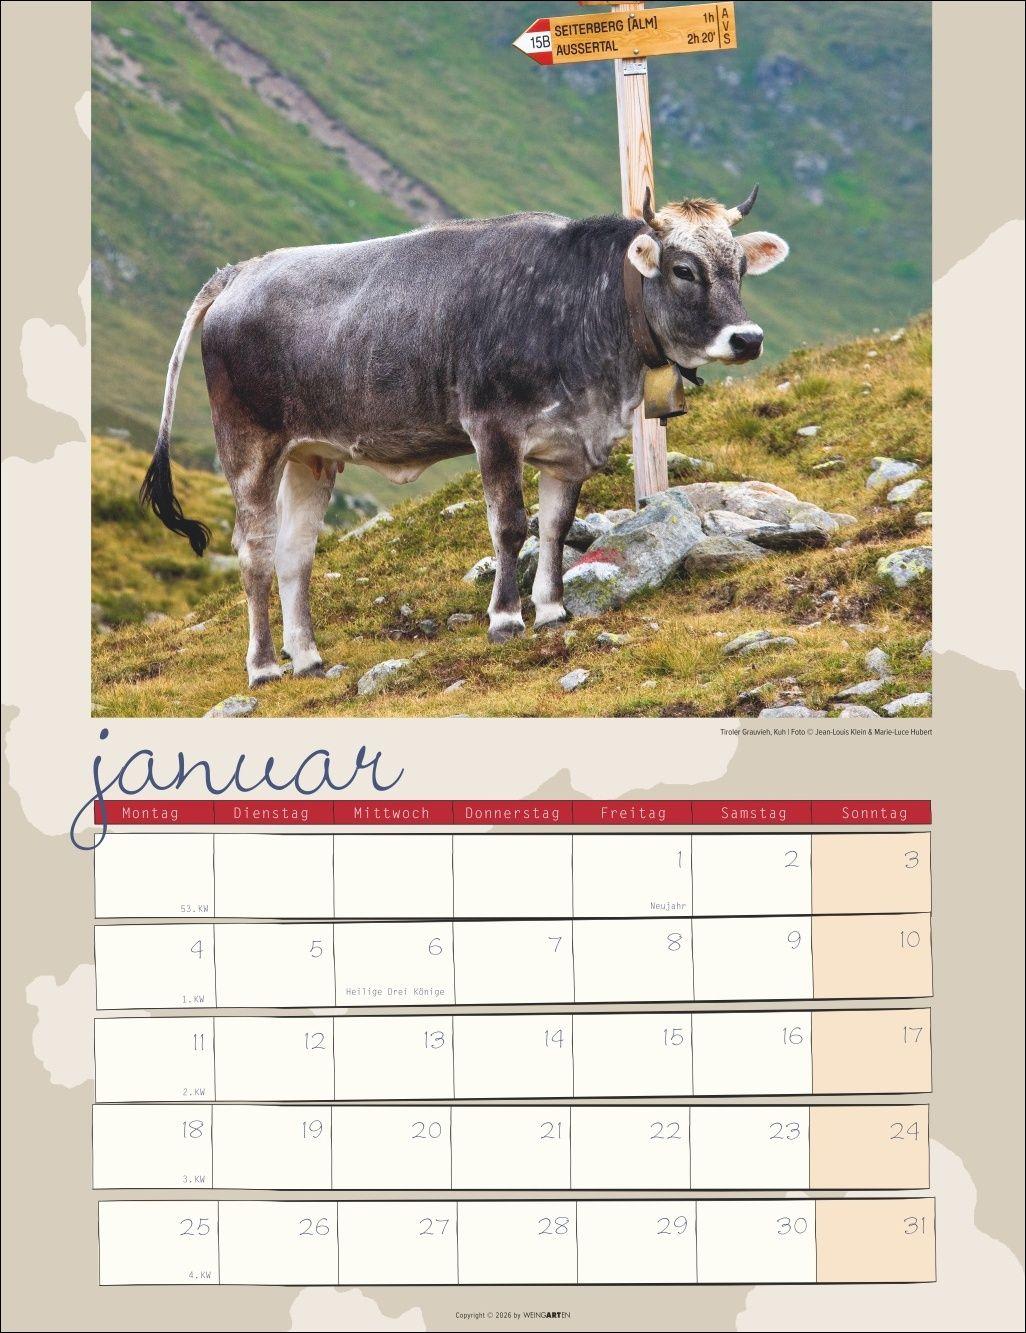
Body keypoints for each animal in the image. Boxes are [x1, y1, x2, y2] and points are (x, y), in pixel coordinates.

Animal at [141, 187, 788, 686]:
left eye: (739, 268)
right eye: (684, 270)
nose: (749, 338)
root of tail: (239, 272)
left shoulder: (568, 445)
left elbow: (555, 527)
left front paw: (551, 609)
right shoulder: (494, 431)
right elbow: (510, 526)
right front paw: (505, 619)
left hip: (312, 456)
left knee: (294, 554)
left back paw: (308, 658)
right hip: (249, 448)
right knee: (254, 551)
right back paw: (264, 667)